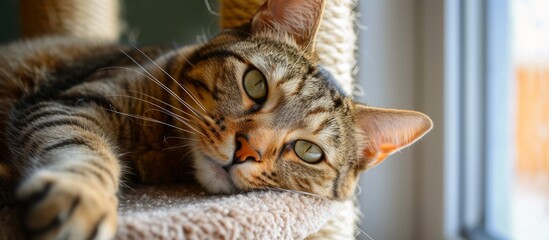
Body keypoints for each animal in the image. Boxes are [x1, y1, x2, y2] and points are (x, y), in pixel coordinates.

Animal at [0, 0, 430, 238]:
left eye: (308, 151)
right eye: (255, 83)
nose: (245, 151)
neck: (164, 154)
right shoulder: (72, 101)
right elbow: (80, 147)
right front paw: (81, 198)